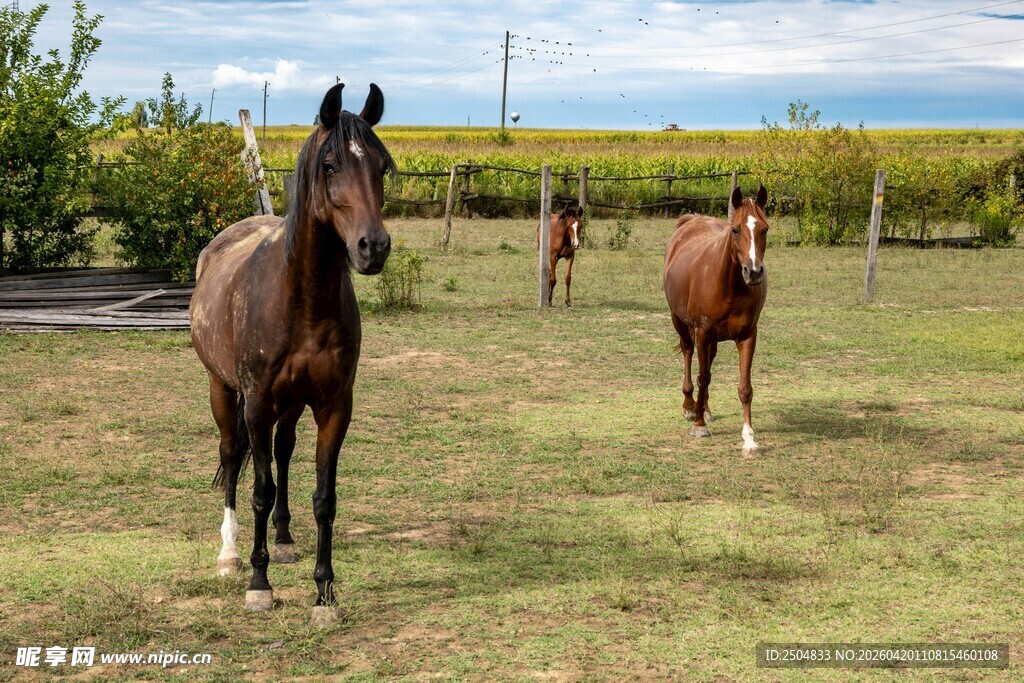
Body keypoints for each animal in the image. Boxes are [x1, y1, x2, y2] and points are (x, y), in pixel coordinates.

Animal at [189, 83, 394, 622]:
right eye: (331, 164)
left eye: (381, 166)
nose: (373, 247)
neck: (301, 299)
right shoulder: (258, 402)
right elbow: (259, 490)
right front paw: (259, 584)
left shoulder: (333, 406)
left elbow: (324, 497)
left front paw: (324, 592)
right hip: (223, 389)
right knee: (233, 456)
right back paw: (230, 554)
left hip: (293, 403)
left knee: (282, 452)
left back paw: (282, 540)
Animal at [663, 185, 769, 457]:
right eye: (735, 229)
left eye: (764, 229)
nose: (753, 272)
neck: (729, 286)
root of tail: (692, 221)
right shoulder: (702, 332)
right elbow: (702, 377)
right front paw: (699, 425)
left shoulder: (747, 336)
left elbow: (745, 388)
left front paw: (749, 440)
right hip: (681, 323)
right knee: (689, 355)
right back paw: (690, 406)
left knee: (708, 364)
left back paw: (706, 409)